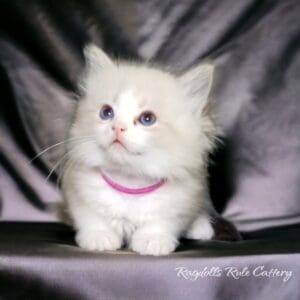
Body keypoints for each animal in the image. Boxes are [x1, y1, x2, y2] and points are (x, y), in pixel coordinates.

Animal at [61, 44, 216, 255]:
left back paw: (201, 228)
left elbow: (162, 222)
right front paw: (100, 238)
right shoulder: (79, 193)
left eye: (147, 119)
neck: (130, 181)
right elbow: (92, 217)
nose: (118, 127)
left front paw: (152, 241)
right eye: (106, 113)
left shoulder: (180, 201)